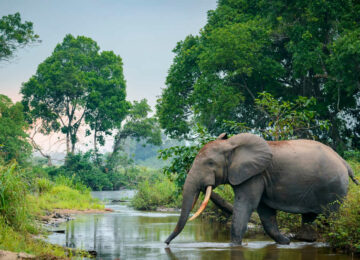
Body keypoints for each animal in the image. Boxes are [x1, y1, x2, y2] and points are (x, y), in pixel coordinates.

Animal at [165, 133, 358, 245]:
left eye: (210, 163)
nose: (166, 243)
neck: (231, 144)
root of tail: (344, 163)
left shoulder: (254, 174)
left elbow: (246, 205)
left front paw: (233, 246)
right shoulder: (260, 177)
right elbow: (265, 212)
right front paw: (285, 242)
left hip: (334, 186)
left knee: (332, 216)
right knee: (310, 217)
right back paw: (306, 240)